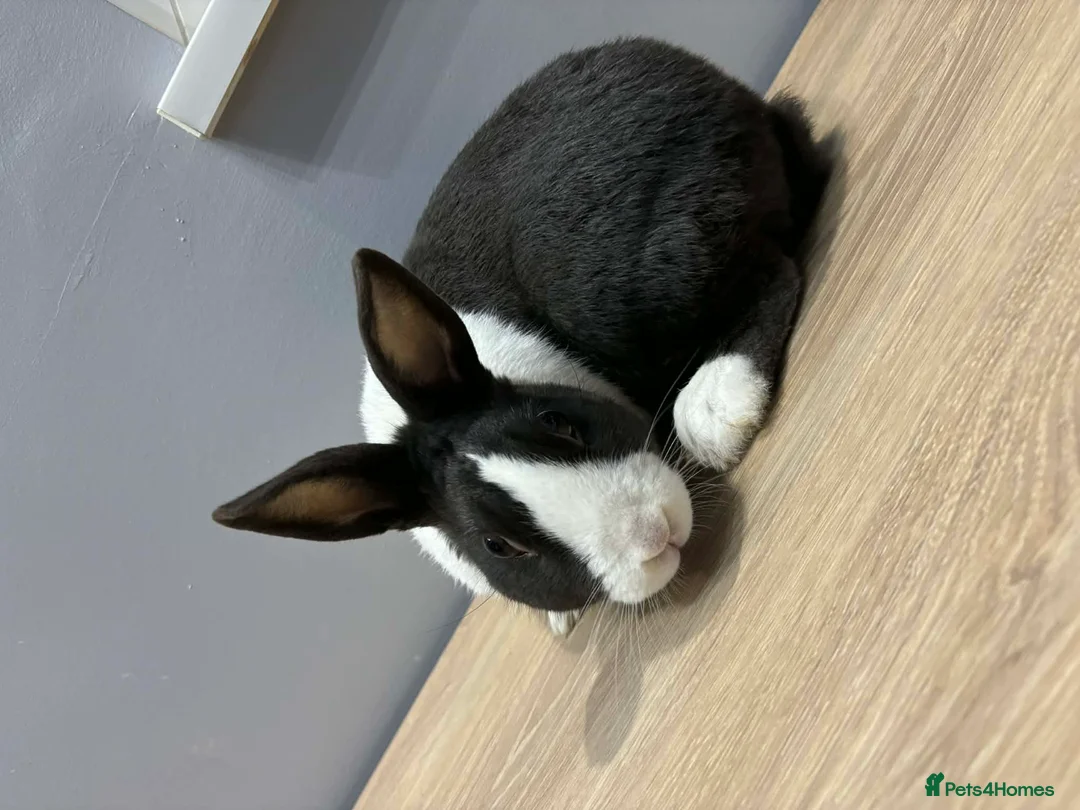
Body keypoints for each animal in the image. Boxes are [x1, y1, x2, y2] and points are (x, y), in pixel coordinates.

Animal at [212, 38, 831, 636]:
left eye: (558, 424)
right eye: (499, 547)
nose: (651, 531)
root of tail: (720, 88)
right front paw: (561, 618)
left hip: (637, 277)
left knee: (772, 273)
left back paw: (714, 410)